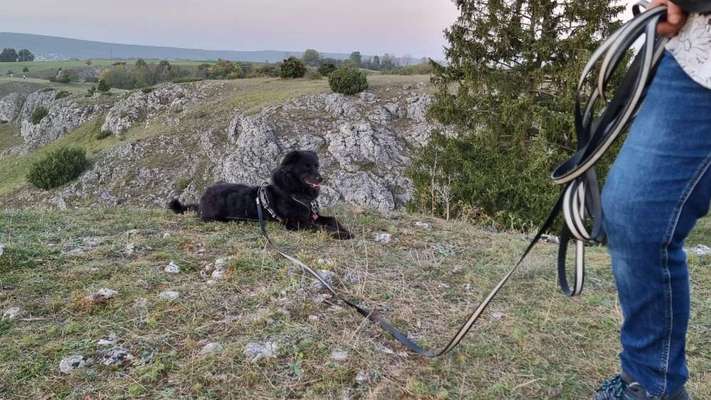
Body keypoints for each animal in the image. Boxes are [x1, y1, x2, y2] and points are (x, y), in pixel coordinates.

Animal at [170, 149, 354, 238]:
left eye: (316, 165)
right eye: (306, 166)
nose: (321, 178)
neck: (293, 190)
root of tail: (202, 198)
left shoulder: (311, 215)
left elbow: (332, 219)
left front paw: (344, 230)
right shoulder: (295, 222)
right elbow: (322, 228)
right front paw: (342, 235)